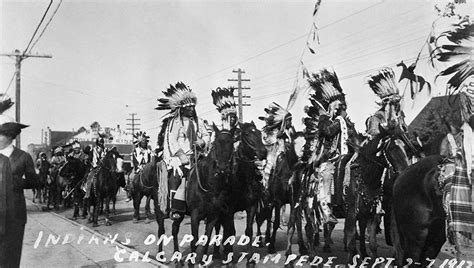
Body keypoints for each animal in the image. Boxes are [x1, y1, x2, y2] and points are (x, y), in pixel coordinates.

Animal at [171, 125, 236, 260]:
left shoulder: (212, 216)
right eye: (215, 143)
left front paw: (202, 261)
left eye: (232, 143)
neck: (210, 186)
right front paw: (191, 261)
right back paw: (176, 257)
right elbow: (194, 241)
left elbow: (206, 239)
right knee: (174, 230)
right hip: (178, 213)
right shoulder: (195, 216)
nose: (222, 168)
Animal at [344, 127, 412, 260]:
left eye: (405, 148)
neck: (367, 179)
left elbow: (373, 245)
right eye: (391, 148)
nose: (405, 171)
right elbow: (351, 245)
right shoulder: (351, 213)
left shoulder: (373, 214)